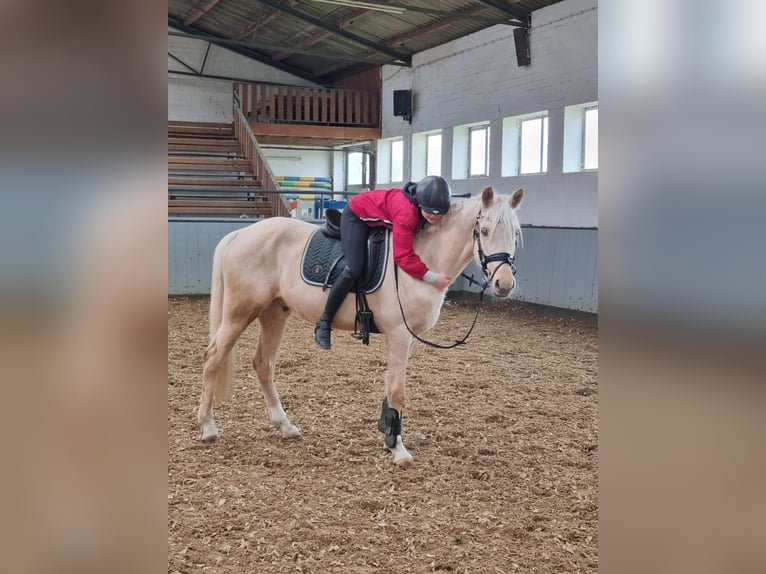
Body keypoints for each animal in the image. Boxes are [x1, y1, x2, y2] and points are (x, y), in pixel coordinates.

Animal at [195, 188, 524, 468]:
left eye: (515, 234)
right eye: (484, 231)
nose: (504, 284)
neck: (422, 256)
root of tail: (240, 234)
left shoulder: (405, 338)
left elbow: (389, 384)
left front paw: (387, 432)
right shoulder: (399, 335)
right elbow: (397, 390)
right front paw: (399, 449)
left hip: (274, 312)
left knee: (263, 364)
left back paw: (285, 426)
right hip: (240, 312)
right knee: (214, 358)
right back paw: (208, 427)